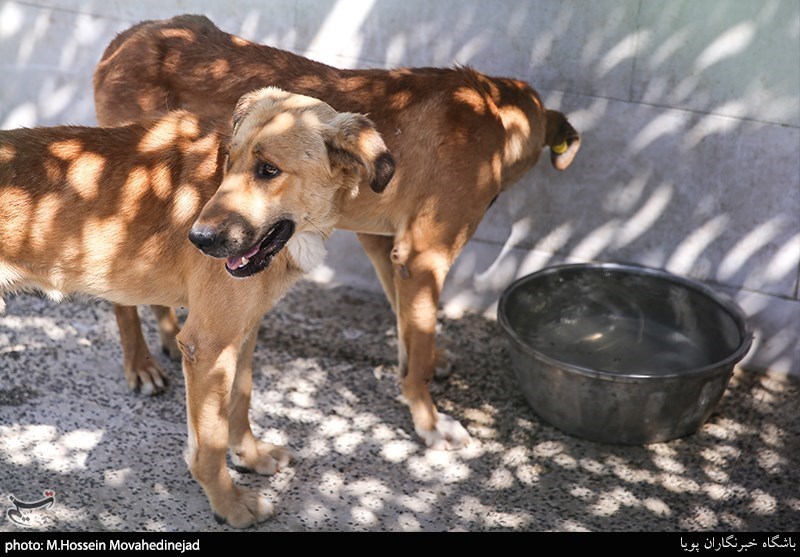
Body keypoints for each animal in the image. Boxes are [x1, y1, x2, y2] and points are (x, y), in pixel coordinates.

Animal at [0, 88, 396, 524]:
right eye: (229, 161)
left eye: (268, 170)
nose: (198, 240)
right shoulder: (207, 346)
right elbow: (210, 442)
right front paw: (229, 504)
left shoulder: (242, 332)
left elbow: (241, 400)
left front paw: (249, 456)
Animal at [95, 13, 580, 450]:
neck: (493, 113)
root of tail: (123, 38)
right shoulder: (425, 256)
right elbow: (419, 347)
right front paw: (429, 421)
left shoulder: (386, 247)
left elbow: (407, 324)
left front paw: (419, 368)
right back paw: (138, 364)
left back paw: (165, 336)